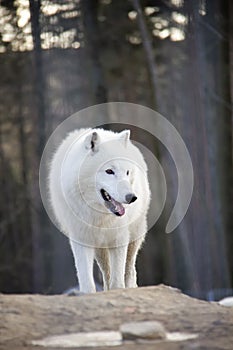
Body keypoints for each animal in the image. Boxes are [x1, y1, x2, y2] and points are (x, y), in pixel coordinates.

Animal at [49, 128, 151, 292]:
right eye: (109, 171)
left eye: (127, 172)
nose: (132, 197)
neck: (99, 216)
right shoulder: (80, 238)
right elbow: (87, 283)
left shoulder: (120, 237)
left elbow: (118, 282)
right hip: (100, 249)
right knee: (106, 274)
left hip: (135, 235)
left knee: (129, 270)